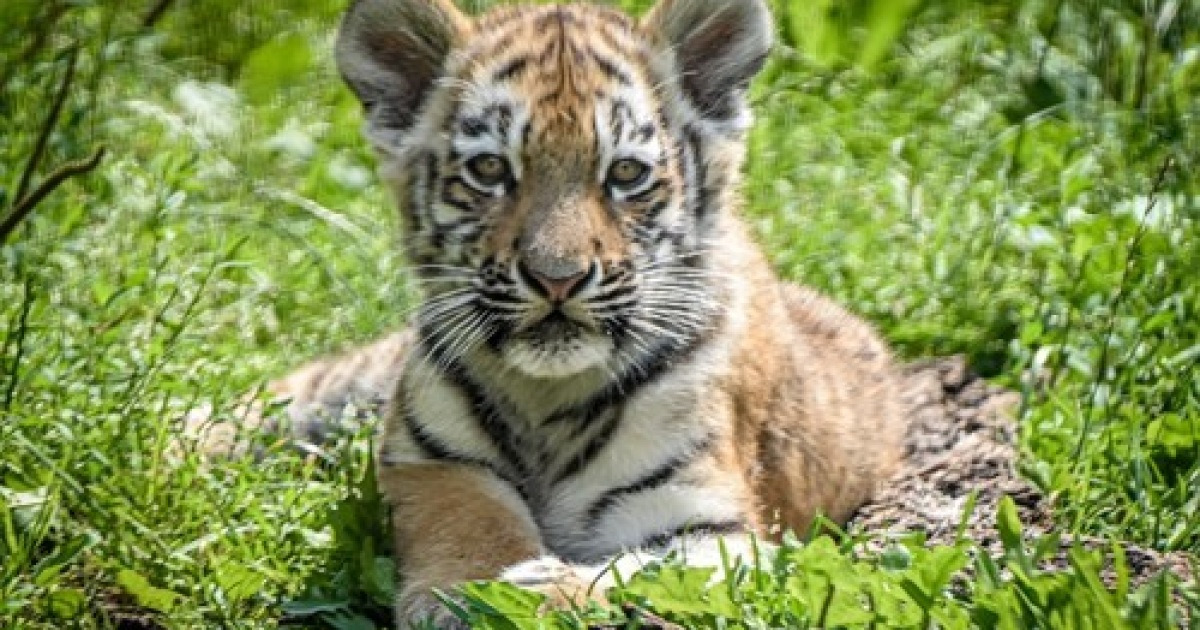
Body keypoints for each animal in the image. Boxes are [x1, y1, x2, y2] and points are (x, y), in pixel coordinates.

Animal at [231, 0, 908, 625]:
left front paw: (533, 590)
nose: (557, 278)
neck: (547, 398)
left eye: (626, 174)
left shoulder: (710, 525)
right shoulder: (435, 459)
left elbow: (644, 573)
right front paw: (463, 593)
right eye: (489, 169)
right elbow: (467, 519)